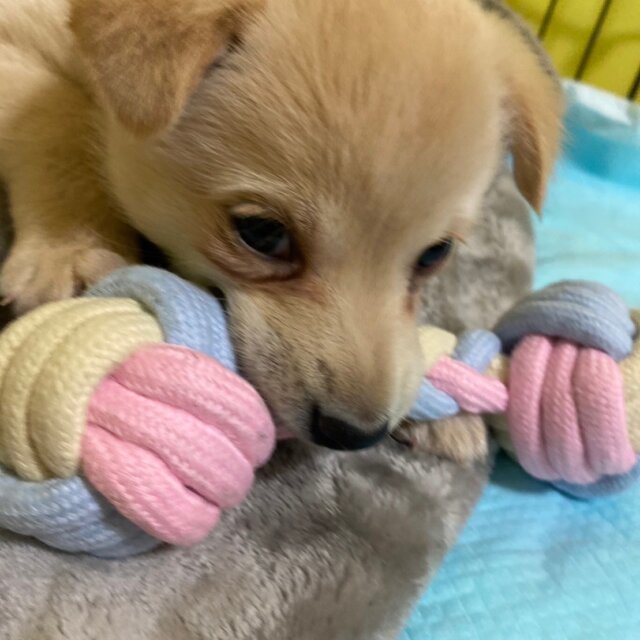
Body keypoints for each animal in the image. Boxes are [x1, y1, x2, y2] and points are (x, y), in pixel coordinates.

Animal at [0, 0, 563, 450]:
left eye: (435, 253)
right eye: (263, 234)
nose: (357, 436)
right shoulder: (20, 46)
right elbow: (58, 123)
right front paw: (72, 249)